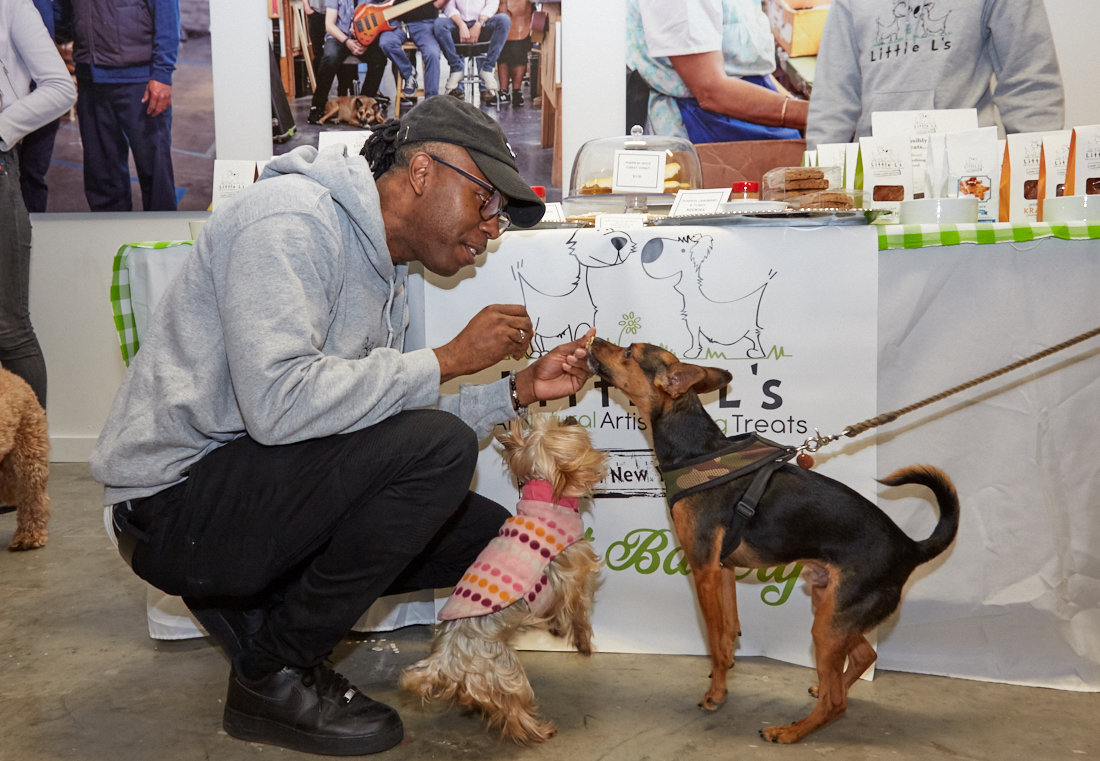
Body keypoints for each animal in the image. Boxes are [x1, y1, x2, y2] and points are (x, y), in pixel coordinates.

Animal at [402, 415, 611, 743]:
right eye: (562, 429)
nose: (571, 416)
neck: (547, 494)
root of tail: (444, 659)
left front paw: (556, 626)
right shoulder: (572, 570)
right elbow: (577, 607)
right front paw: (581, 639)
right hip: (504, 671)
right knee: (514, 710)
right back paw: (538, 730)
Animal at [589, 340, 959, 743]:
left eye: (629, 351)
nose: (593, 341)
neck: (697, 453)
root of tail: (910, 547)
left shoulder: (703, 570)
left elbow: (714, 640)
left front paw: (715, 695)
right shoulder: (722, 570)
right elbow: (728, 634)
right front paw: (723, 675)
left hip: (829, 625)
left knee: (836, 703)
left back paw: (790, 731)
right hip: (831, 609)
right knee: (863, 658)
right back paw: (823, 690)